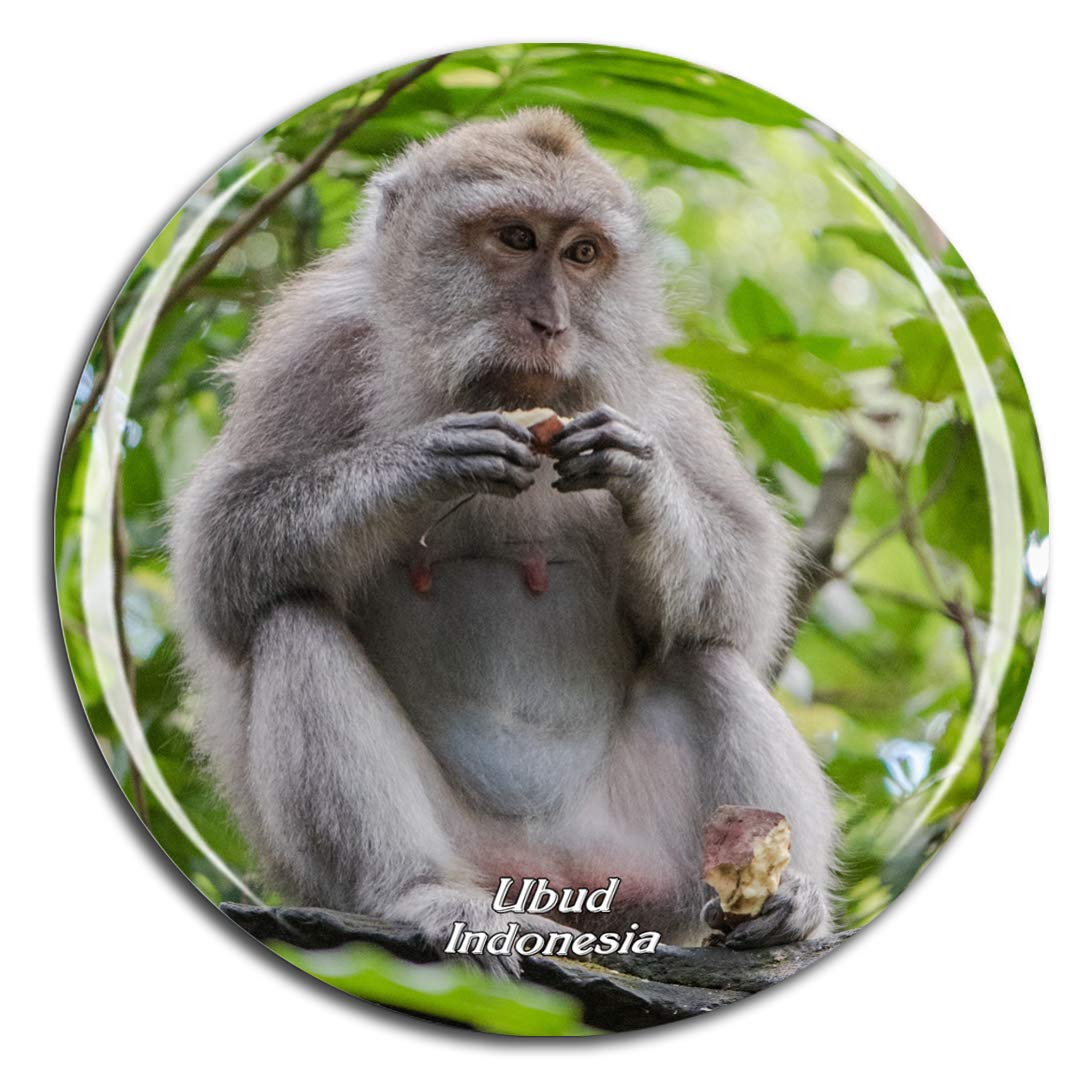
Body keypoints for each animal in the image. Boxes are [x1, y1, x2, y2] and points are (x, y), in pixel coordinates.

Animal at [171, 108, 836, 972]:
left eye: (582, 253)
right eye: (516, 238)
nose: (551, 323)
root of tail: (543, 874)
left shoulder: (657, 388)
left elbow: (744, 591)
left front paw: (639, 477)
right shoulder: (315, 348)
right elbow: (222, 557)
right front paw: (427, 460)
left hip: (643, 870)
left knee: (705, 655)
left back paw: (787, 901)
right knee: (292, 618)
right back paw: (420, 891)